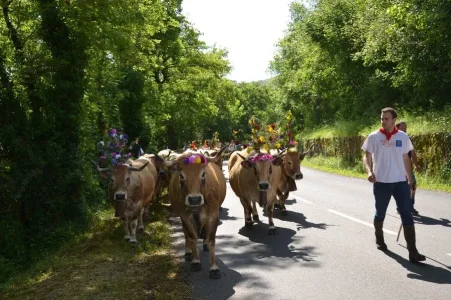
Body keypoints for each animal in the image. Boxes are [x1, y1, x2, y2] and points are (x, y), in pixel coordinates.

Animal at [165, 146, 228, 280]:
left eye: (203, 174)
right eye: (181, 176)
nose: (194, 199)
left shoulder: (213, 216)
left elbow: (211, 240)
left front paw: (214, 268)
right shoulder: (184, 217)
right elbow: (192, 236)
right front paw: (195, 261)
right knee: (186, 234)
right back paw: (188, 252)